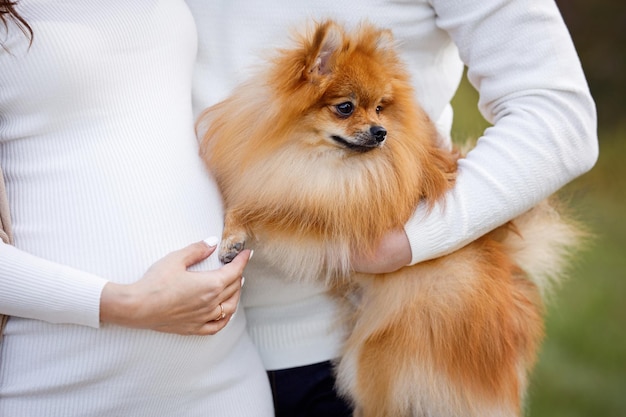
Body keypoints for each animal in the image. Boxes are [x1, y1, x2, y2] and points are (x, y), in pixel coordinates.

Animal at [197, 20, 584, 417]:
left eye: (380, 108)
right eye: (346, 107)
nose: (381, 132)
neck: (313, 157)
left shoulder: (323, 215)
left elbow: (263, 209)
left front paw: (237, 235)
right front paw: (232, 235)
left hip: (379, 351)